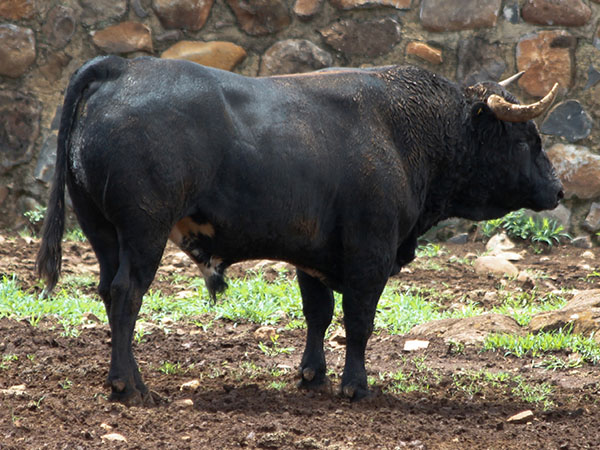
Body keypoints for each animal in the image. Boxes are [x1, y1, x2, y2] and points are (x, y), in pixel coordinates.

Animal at [36, 55, 563, 405]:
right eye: (526, 139)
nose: (558, 189)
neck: (403, 131)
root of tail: (120, 68)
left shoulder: (312, 255)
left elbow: (318, 313)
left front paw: (314, 376)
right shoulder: (370, 253)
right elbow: (358, 321)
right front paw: (355, 385)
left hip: (102, 231)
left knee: (108, 291)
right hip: (143, 231)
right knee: (127, 293)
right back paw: (131, 386)